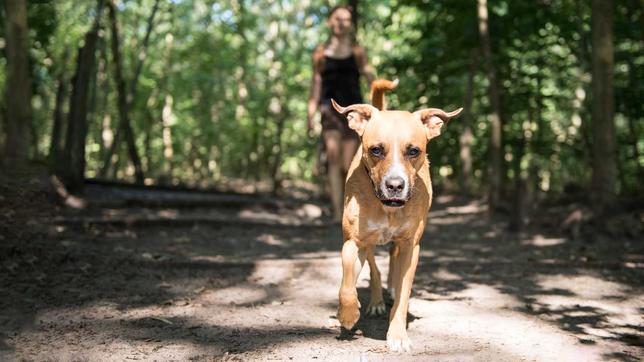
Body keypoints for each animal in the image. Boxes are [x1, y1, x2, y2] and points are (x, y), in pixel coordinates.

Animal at [330, 79, 460, 350]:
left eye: (414, 151)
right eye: (376, 150)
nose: (395, 185)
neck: (388, 207)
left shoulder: (411, 248)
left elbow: (403, 293)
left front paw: (398, 333)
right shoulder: (353, 241)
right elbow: (347, 282)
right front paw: (348, 314)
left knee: (392, 261)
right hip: (368, 243)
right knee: (374, 269)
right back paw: (377, 301)